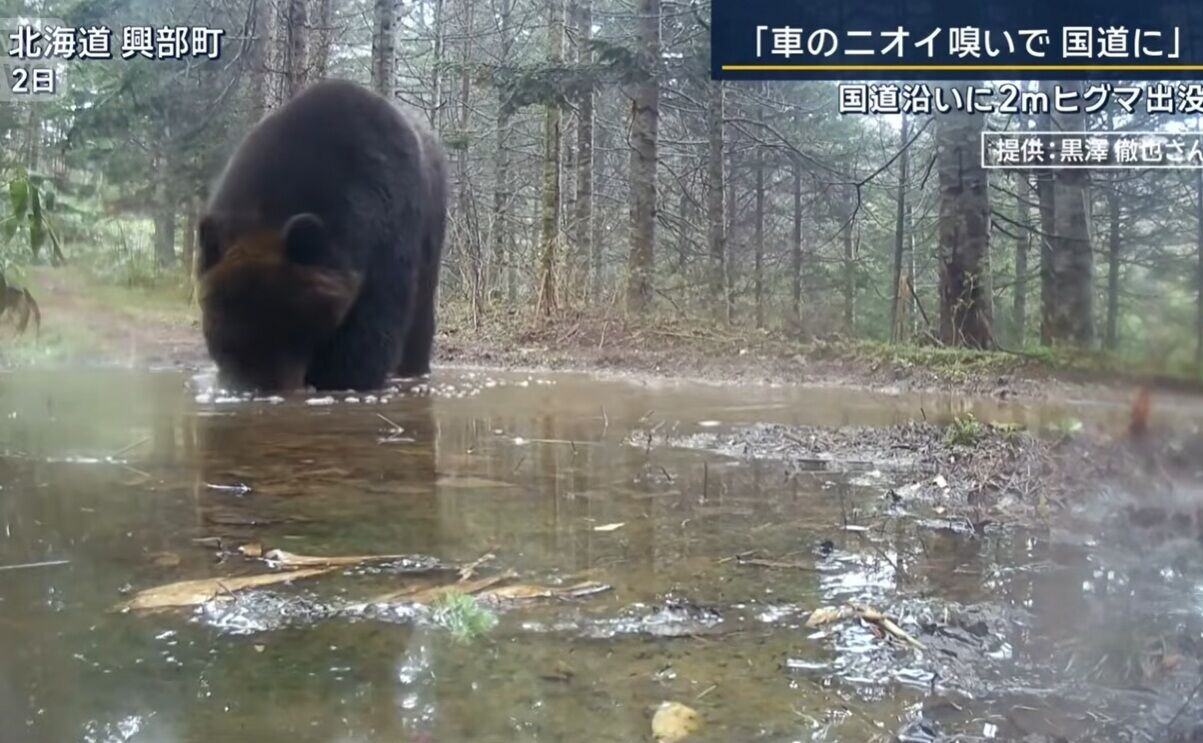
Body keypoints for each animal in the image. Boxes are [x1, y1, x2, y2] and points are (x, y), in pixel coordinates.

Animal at [196, 79, 447, 392]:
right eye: (220, 318)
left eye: (285, 319)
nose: (255, 383)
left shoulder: (386, 229)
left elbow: (373, 323)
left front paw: (345, 376)